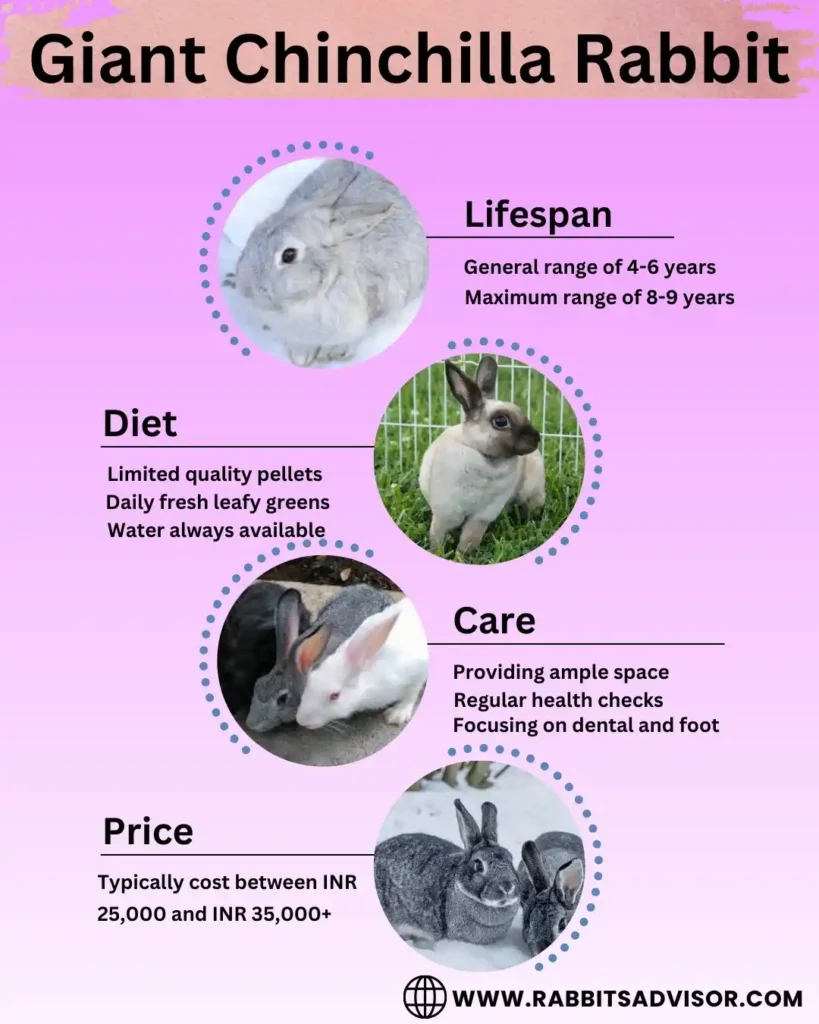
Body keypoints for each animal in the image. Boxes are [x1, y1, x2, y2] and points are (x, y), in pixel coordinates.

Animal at [295, 598, 428, 730]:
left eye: (335, 696)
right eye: (306, 685)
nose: (301, 721)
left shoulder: (418, 670)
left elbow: (411, 693)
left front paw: (396, 715)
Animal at [419, 356, 546, 555]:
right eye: (501, 421)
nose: (536, 438)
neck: (486, 458)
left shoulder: (483, 515)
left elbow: (470, 539)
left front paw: (463, 556)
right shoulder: (445, 512)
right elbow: (437, 537)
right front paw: (437, 553)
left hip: (533, 493)